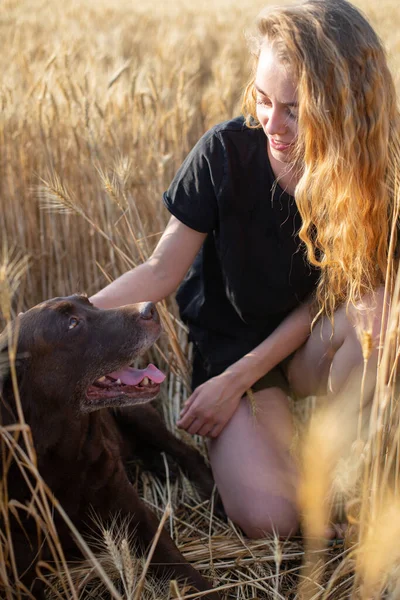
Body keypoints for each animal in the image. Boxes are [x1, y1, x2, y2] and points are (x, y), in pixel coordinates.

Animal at [0, 296, 219, 600]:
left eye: (89, 301)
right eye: (72, 323)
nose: (150, 308)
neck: (63, 454)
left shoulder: (137, 516)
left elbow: (181, 568)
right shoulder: (22, 566)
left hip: (138, 414)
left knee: (185, 450)